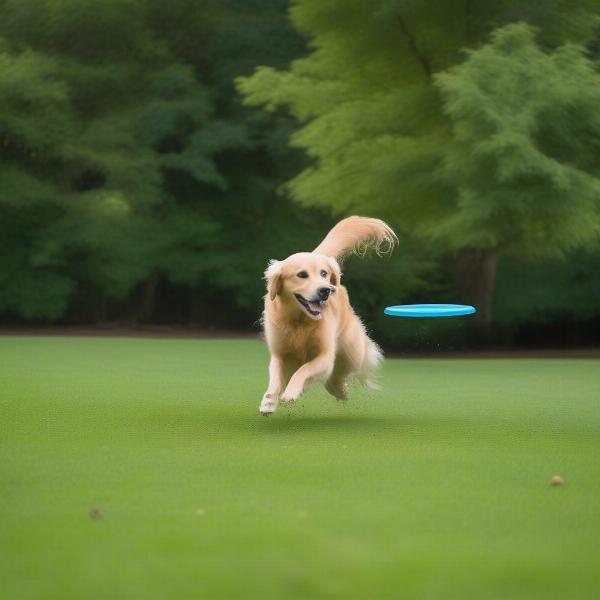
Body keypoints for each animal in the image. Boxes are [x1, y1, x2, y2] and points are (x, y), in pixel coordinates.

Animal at [260, 218, 396, 414]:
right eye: (302, 274)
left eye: (323, 273)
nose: (326, 290)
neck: (299, 321)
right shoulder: (279, 354)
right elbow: (275, 378)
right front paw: (269, 401)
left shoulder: (325, 355)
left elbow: (304, 369)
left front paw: (292, 392)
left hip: (352, 351)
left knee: (342, 374)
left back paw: (341, 390)